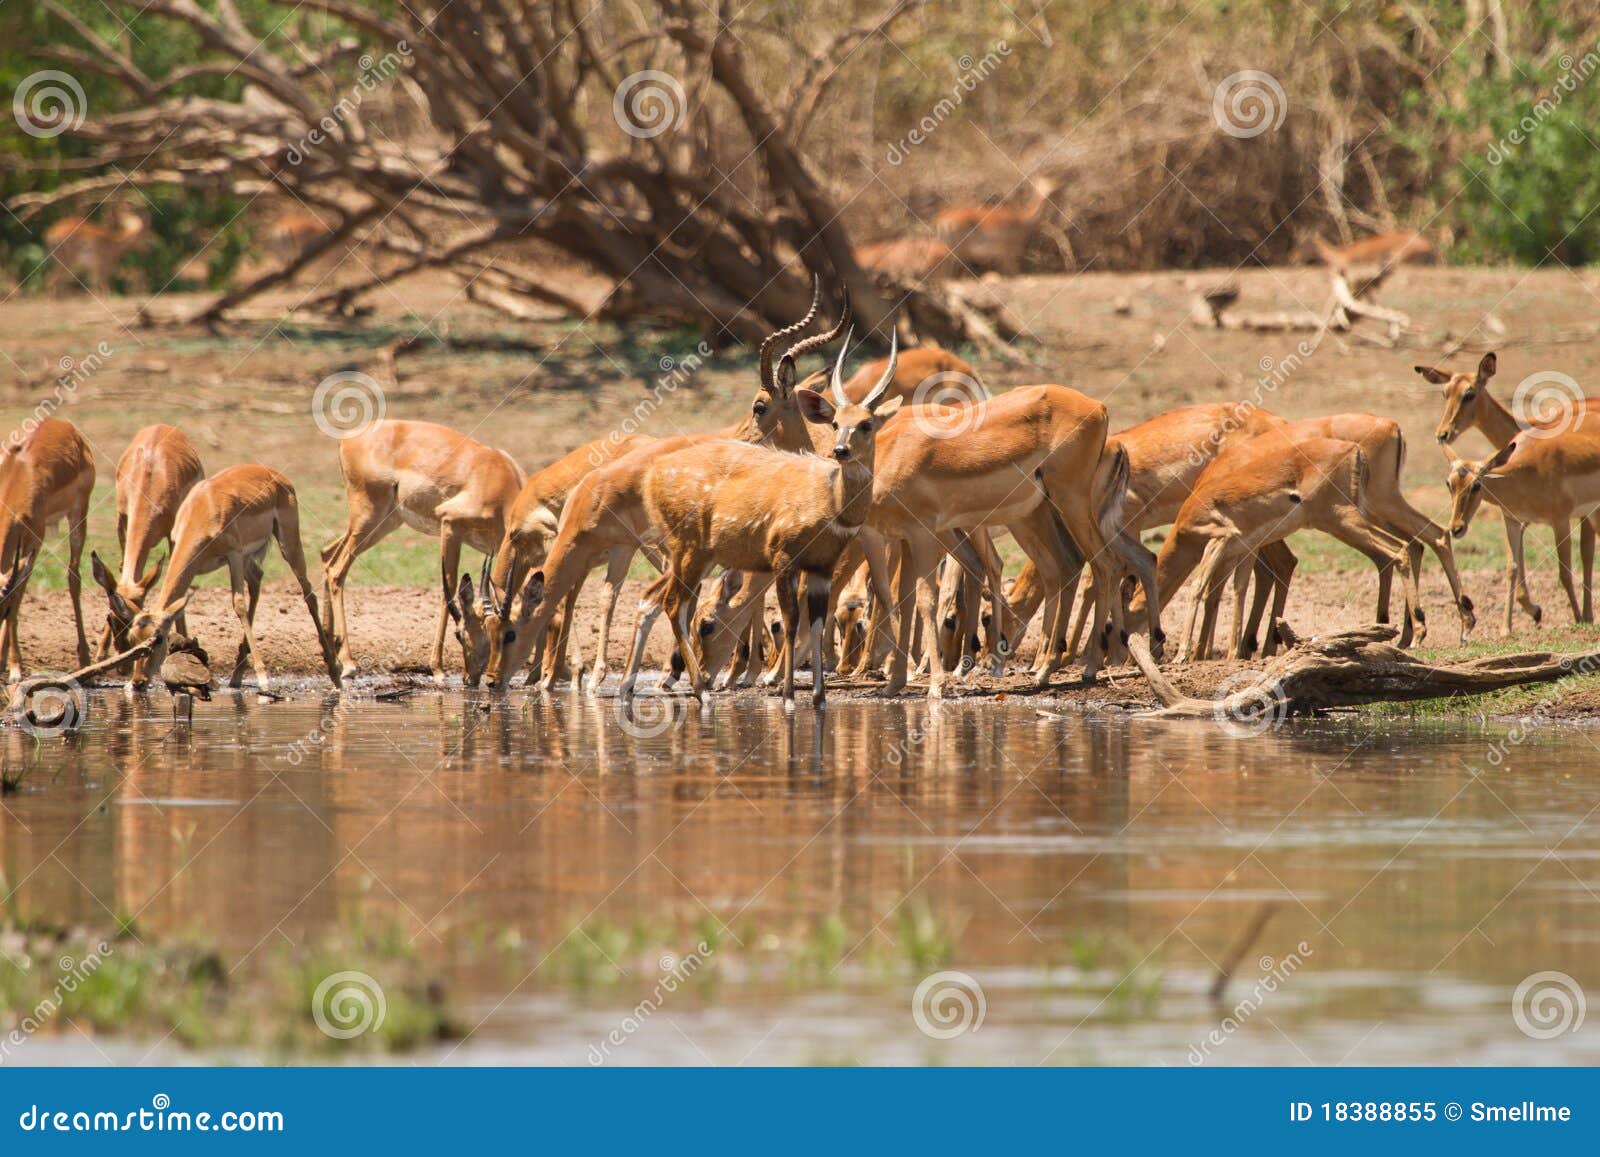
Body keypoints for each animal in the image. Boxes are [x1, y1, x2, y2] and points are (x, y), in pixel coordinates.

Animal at [0, 422, 95, 678]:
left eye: (2, 610)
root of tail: (66, 426)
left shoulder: (35, 541)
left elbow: (18, 596)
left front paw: (15, 668)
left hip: (78, 515)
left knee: (74, 575)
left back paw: (85, 659)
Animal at [91, 422, 206, 659]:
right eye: (111, 617)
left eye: (133, 620)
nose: (123, 650)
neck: (150, 479)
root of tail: (164, 425)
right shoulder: (122, 521)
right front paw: (99, 654)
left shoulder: (173, 534)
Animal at [129, 464, 342, 691]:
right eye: (132, 639)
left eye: (158, 638)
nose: (138, 682)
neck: (202, 511)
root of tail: (273, 472)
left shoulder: (234, 556)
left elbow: (238, 604)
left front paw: (263, 678)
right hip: (250, 559)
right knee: (257, 580)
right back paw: (237, 674)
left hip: (287, 545)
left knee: (308, 593)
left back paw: (335, 674)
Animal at [320, 422, 524, 684]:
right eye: (459, 635)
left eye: (508, 634)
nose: (471, 678)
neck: (496, 478)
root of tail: (348, 439)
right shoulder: (450, 526)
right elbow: (448, 589)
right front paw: (437, 669)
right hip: (368, 517)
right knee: (337, 570)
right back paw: (348, 663)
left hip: (384, 522)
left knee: (327, 555)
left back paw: (329, 650)